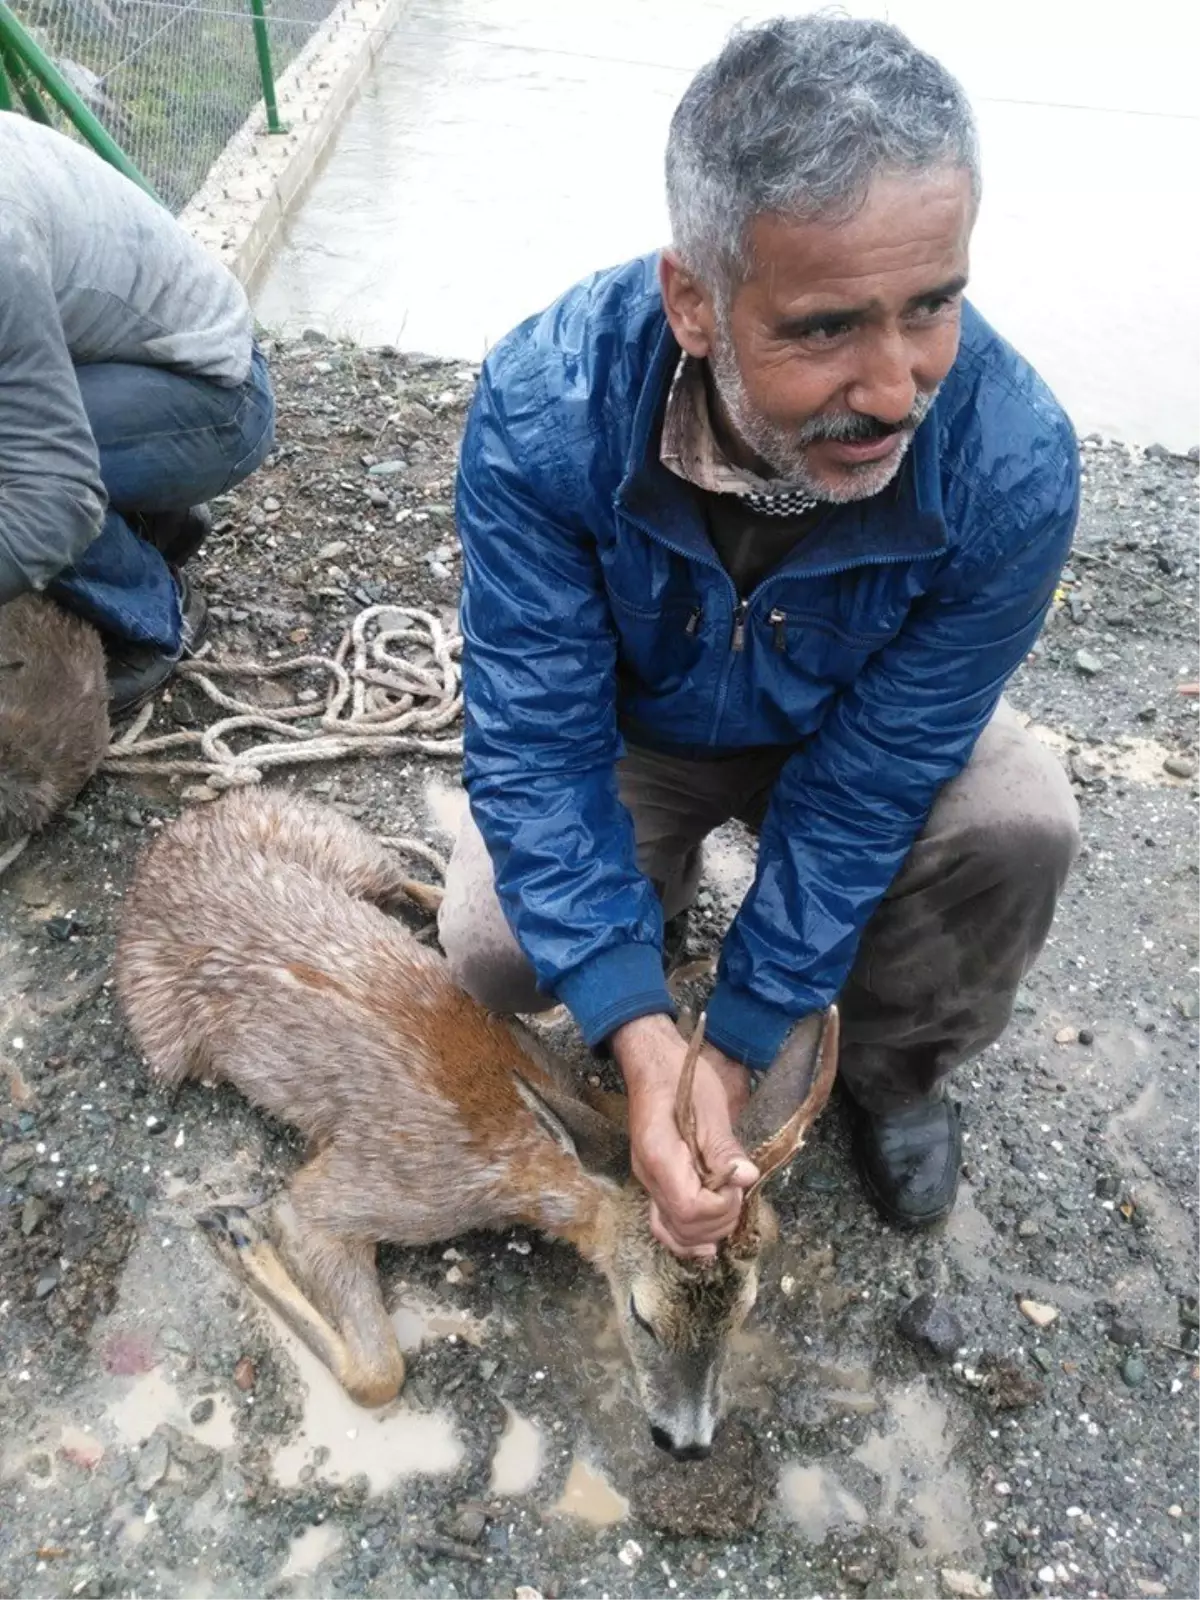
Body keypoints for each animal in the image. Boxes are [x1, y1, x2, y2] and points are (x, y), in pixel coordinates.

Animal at [117, 787, 838, 1465]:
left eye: (746, 1308)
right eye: (641, 1314)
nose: (688, 1444)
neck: (525, 1164)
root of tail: (165, 845)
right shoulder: (347, 1191)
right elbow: (378, 1374)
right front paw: (233, 1231)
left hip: (343, 848)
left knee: (408, 884)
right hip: (168, 1035)